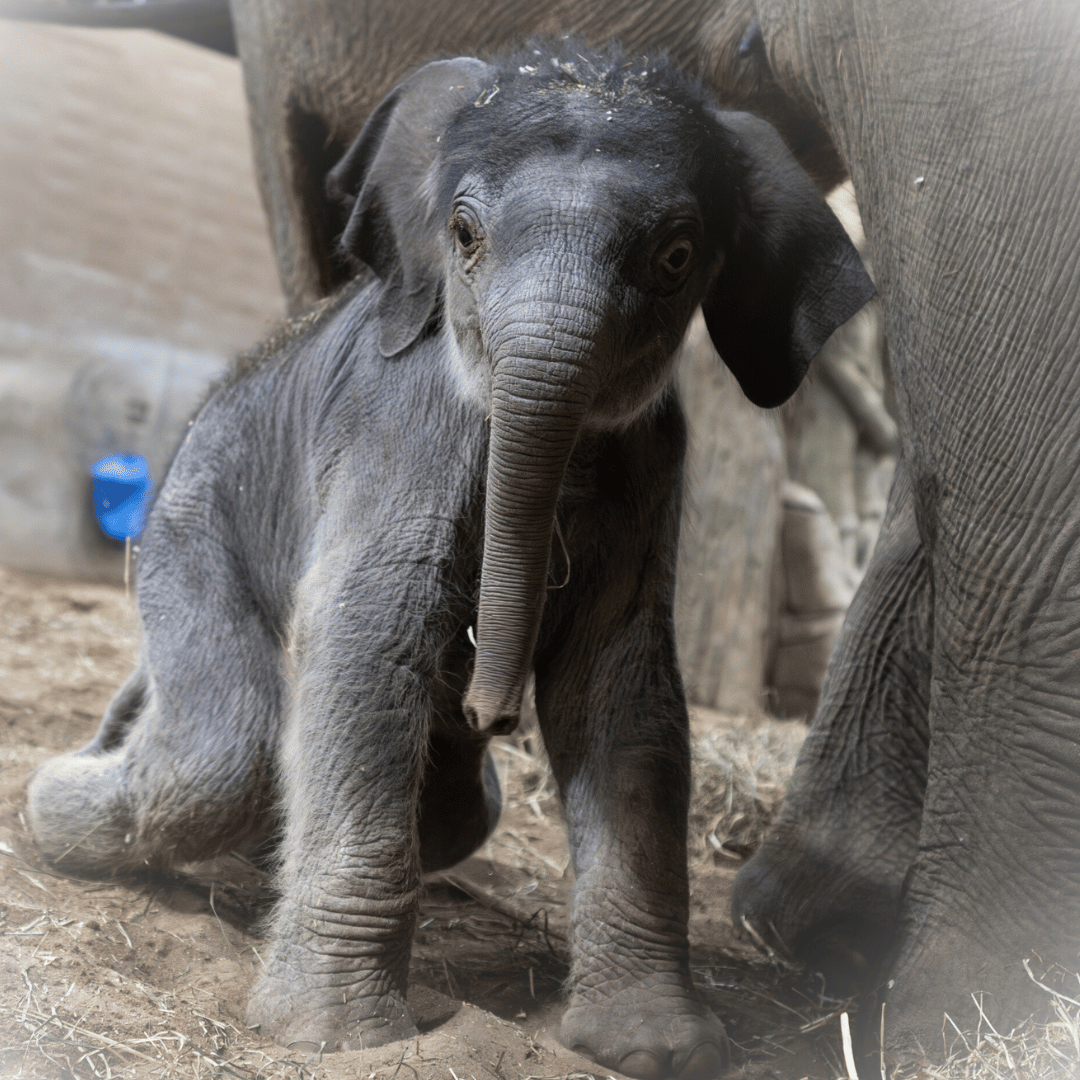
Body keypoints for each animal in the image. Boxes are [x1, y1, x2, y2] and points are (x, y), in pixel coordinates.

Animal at [10, 0, 1080, 1072]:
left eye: (677, 257)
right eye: (464, 233)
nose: (489, 710)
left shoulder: (652, 462)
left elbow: (621, 689)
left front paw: (651, 1048)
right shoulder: (408, 425)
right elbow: (369, 638)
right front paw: (336, 1038)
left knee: (440, 802)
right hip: (190, 522)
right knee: (227, 745)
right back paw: (55, 800)